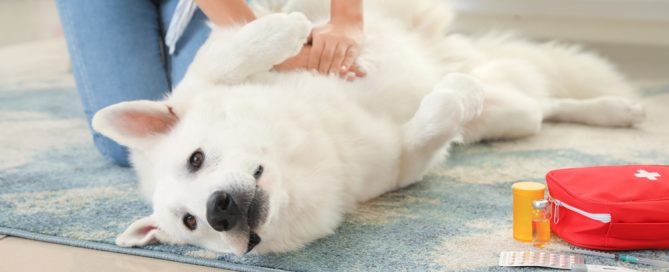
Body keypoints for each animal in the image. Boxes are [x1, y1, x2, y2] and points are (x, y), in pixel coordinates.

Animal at [92, 0, 640, 256]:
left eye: (196, 159)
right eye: (191, 224)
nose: (219, 209)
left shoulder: (211, 67)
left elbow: (229, 54)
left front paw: (287, 29)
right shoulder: (401, 164)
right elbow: (432, 125)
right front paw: (455, 95)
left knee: (546, 99)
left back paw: (618, 107)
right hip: (511, 114)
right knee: (538, 106)